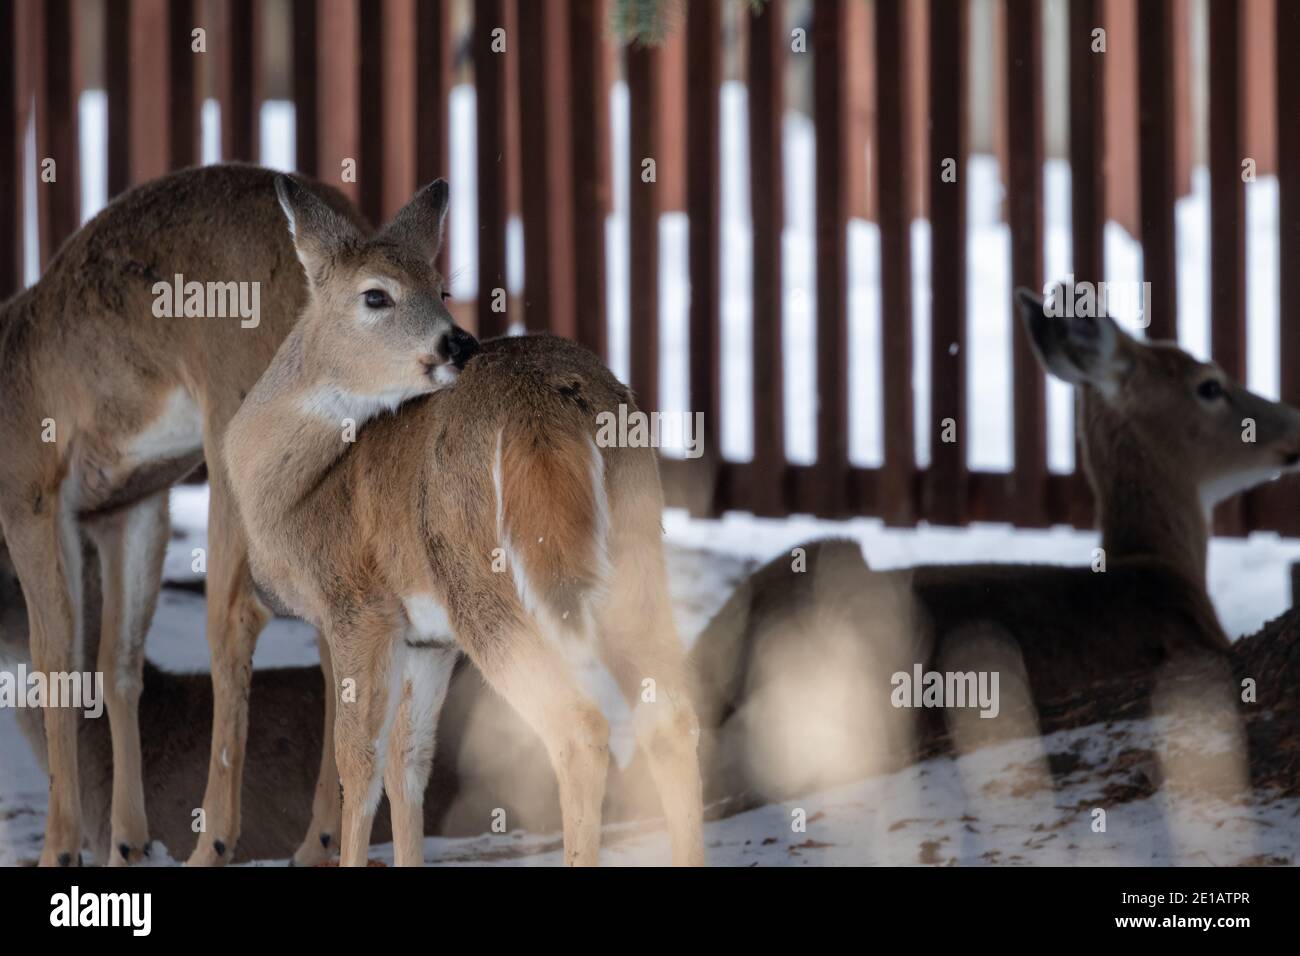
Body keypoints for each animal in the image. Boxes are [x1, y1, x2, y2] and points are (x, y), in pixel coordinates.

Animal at [0, 163, 365, 866]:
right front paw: (126, 844)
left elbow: (56, 656)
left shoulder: (29, 488)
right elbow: (117, 661)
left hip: (235, 420)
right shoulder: (128, 503)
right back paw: (317, 845)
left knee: (237, 617)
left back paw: (215, 842)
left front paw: (60, 849)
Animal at [221, 175, 705, 867]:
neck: (297, 490)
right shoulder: (428, 640)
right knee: (670, 718)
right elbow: (409, 763)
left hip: (482, 578)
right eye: (377, 294)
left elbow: (357, 765)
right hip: (635, 557)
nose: (460, 341)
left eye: (441, 289)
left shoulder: (357, 607)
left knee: (580, 728)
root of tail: (547, 403)